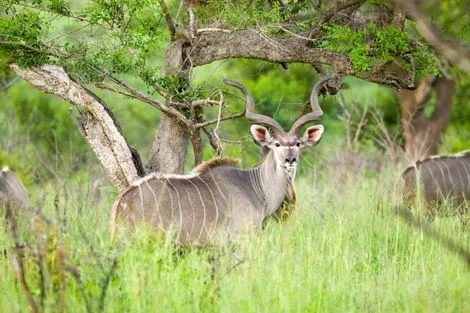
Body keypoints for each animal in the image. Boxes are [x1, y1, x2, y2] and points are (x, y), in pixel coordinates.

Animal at [112, 75, 336, 244]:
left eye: (298, 144)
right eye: (277, 144)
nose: (290, 160)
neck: (255, 186)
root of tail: (121, 202)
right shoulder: (239, 239)